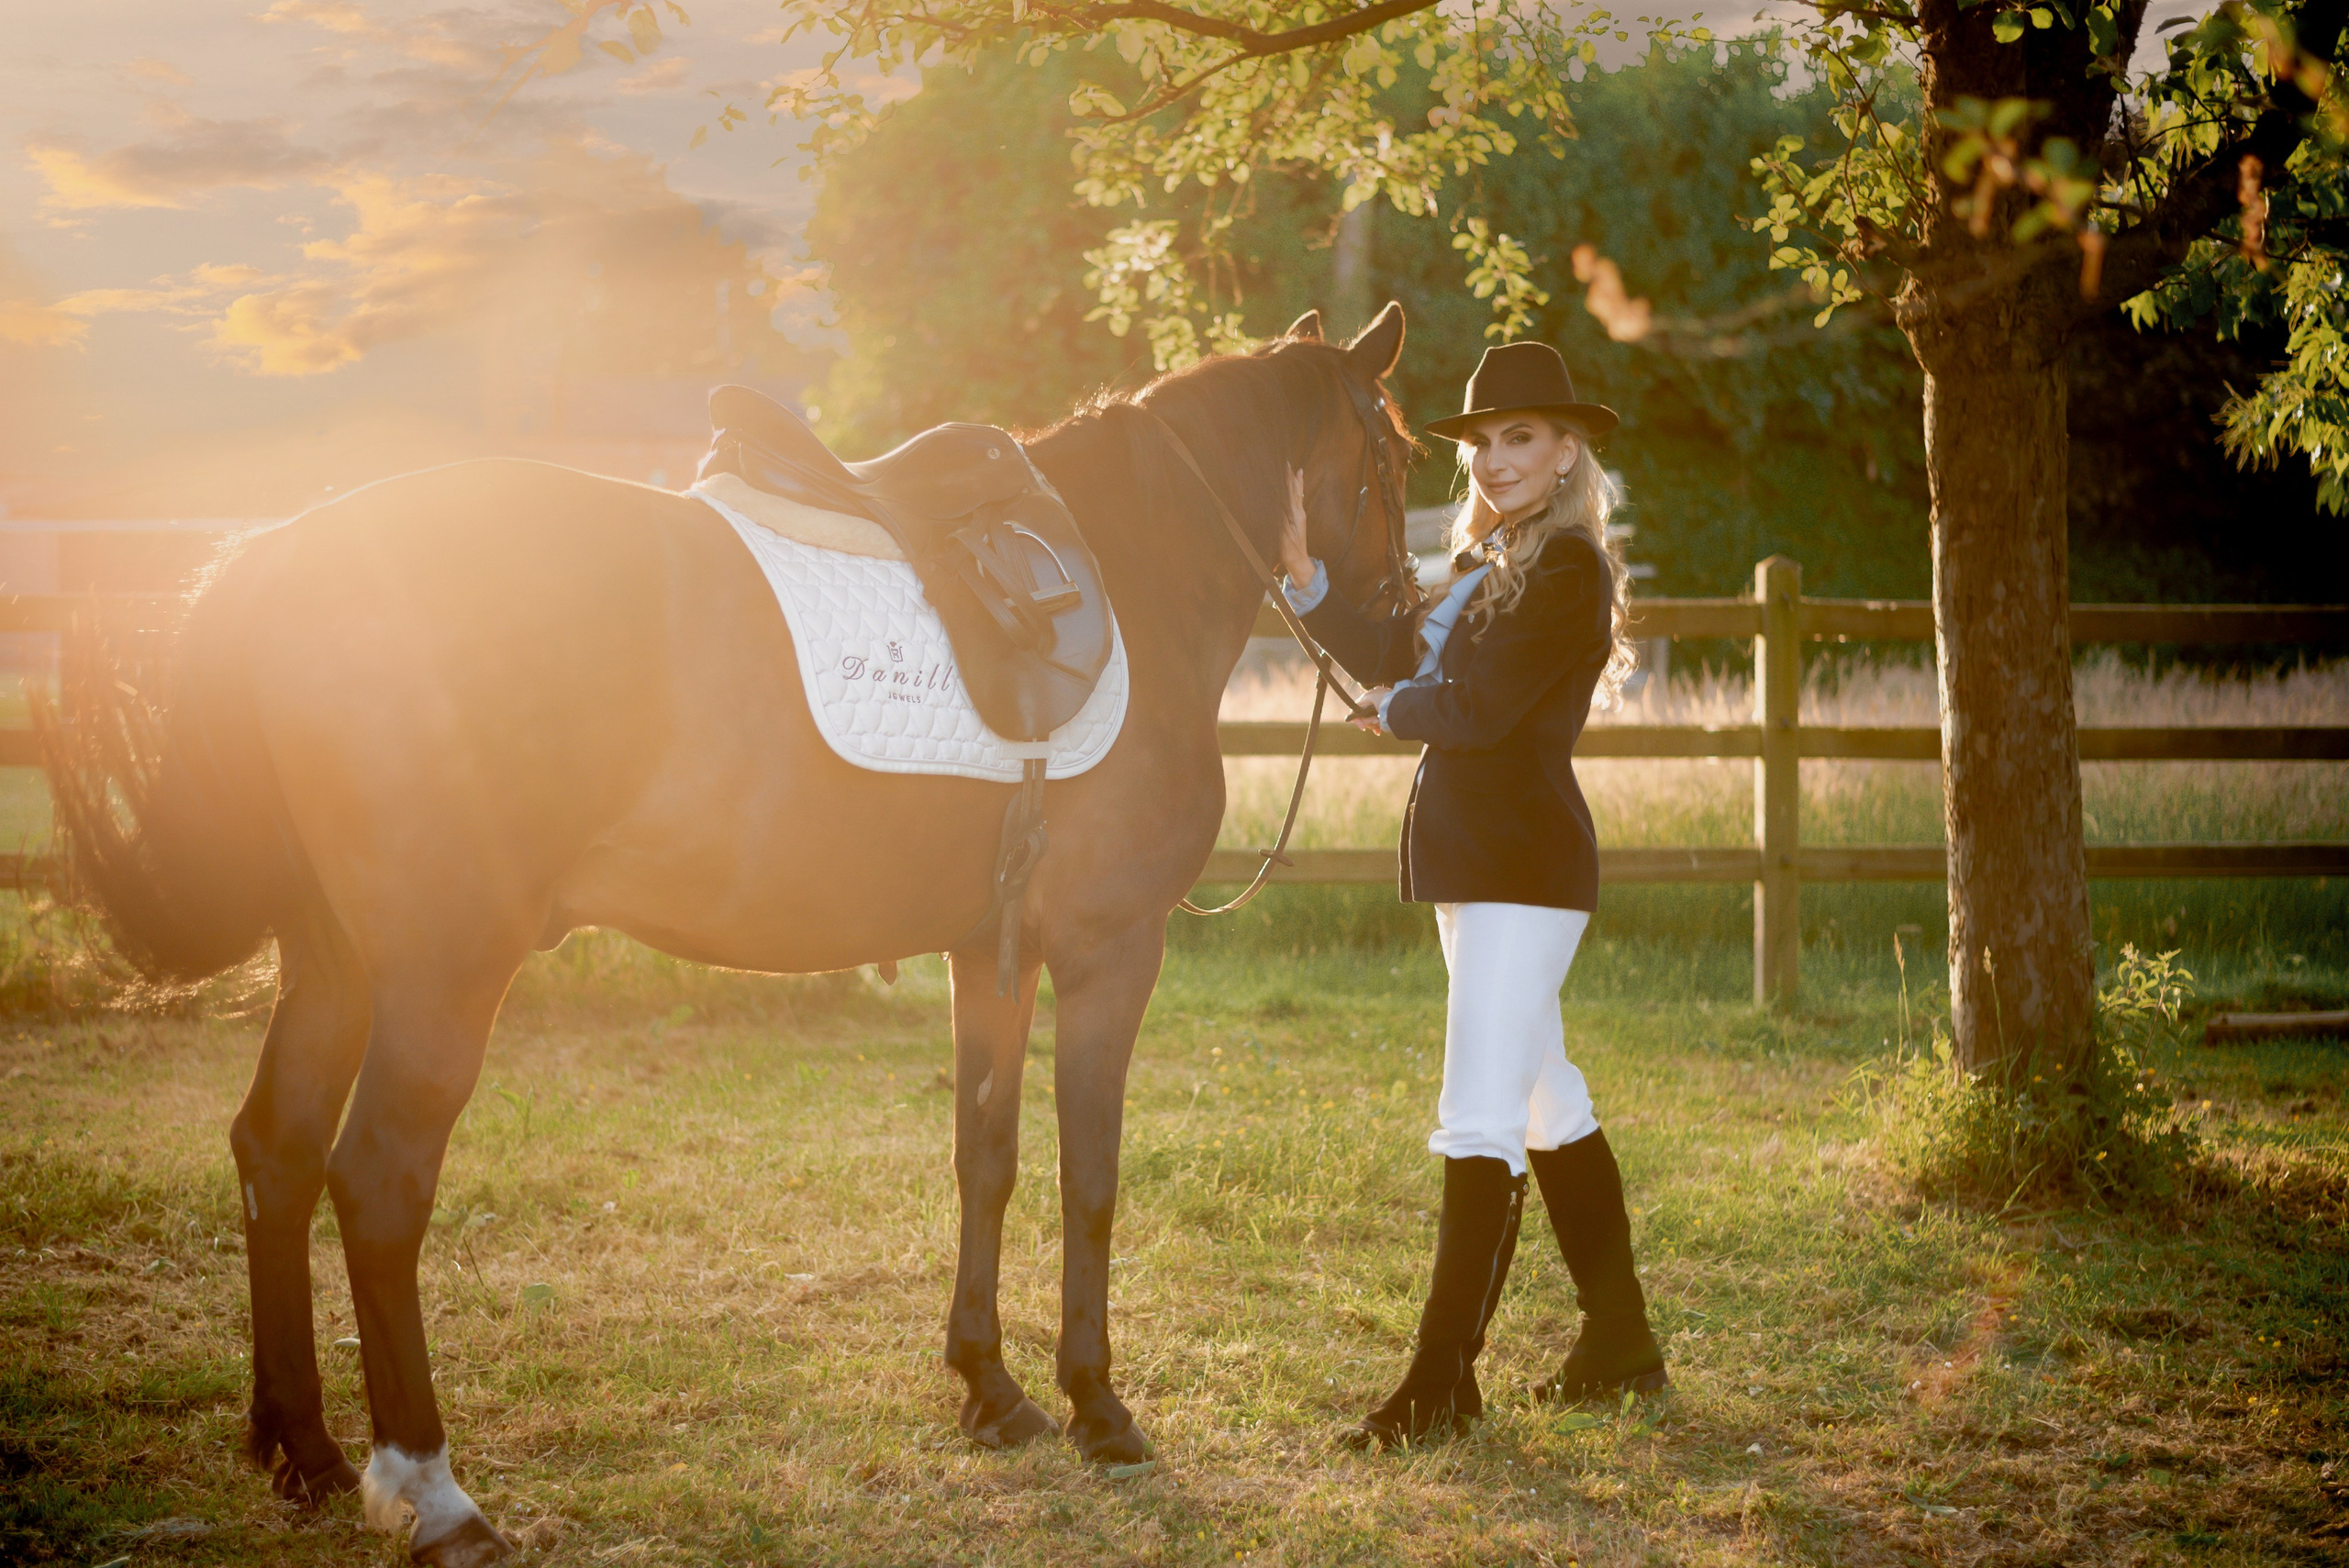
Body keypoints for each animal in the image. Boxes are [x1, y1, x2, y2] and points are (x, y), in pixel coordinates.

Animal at [40, 304, 1419, 1566]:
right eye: (1398, 458)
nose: (1404, 638)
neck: (1133, 567)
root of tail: (287, 548)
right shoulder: (1109, 951)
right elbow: (1092, 1176)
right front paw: (1098, 1404)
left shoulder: (992, 952)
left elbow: (986, 1155)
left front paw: (989, 1384)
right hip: (440, 976)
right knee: (376, 1181)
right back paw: (430, 1490)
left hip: (334, 963)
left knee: (273, 1151)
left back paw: (307, 1450)